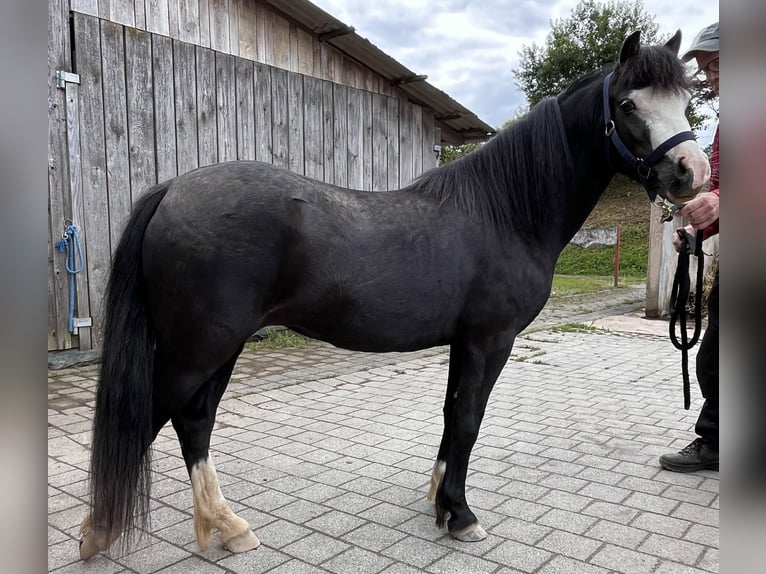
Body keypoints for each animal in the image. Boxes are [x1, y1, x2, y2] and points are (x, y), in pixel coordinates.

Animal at [79, 30, 710, 559]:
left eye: (683, 100)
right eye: (628, 105)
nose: (691, 172)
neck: (503, 213)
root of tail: (171, 190)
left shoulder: (464, 342)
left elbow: (452, 414)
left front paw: (439, 500)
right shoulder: (490, 340)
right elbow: (469, 419)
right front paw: (460, 516)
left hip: (220, 347)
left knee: (194, 422)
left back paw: (226, 527)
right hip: (199, 347)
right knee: (153, 420)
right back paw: (99, 534)